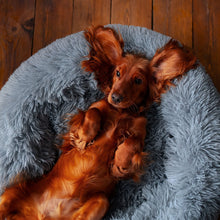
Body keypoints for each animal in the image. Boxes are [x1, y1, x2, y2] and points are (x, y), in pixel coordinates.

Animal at [0, 25, 196, 218]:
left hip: (101, 200)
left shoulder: (141, 131)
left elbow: (131, 141)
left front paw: (120, 162)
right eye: (118, 73)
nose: (115, 97)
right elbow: (93, 112)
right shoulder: (87, 113)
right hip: (11, 193)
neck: (120, 112)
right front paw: (85, 137)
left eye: (138, 80)